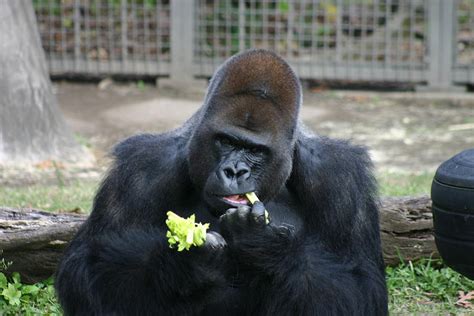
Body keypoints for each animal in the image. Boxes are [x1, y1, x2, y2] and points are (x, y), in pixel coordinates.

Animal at [56, 50, 388, 316]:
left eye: (255, 150)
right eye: (226, 141)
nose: (235, 171)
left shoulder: (340, 175)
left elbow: (363, 286)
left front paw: (265, 247)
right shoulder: (142, 167)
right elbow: (86, 269)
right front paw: (184, 264)